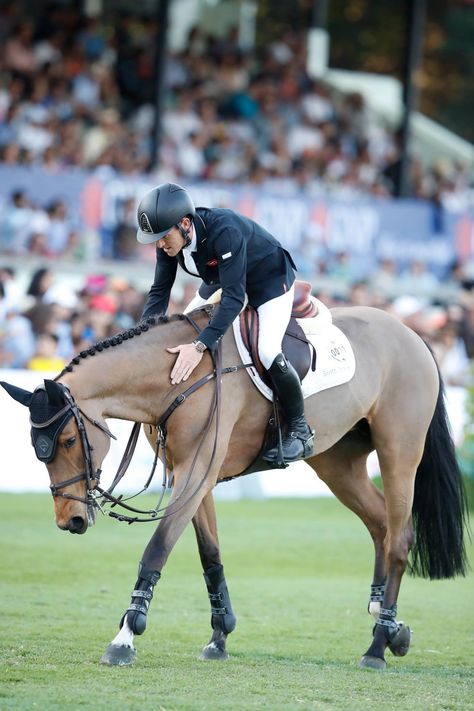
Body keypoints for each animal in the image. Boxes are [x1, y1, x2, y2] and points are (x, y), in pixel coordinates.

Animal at [0, 296, 466, 672]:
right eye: (37, 450)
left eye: (68, 440)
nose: (71, 520)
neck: (178, 375)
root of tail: (411, 334)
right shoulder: (189, 473)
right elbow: (210, 554)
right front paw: (219, 635)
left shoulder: (197, 470)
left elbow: (158, 548)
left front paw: (125, 637)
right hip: (339, 463)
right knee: (380, 526)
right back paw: (388, 625)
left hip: (398, 451)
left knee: (400, 538)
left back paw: (377, 646)